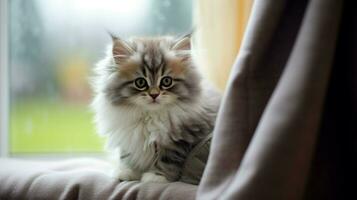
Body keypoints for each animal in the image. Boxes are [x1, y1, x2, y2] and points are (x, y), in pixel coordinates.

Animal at [91, 34, 220, 183]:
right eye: (140, 82)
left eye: (166, 81)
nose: (154, 94)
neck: (150, 115)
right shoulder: (129, 136)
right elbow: (126, 156)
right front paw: (127, 172)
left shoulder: (181, 139)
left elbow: (167, 159)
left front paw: (156, 177)